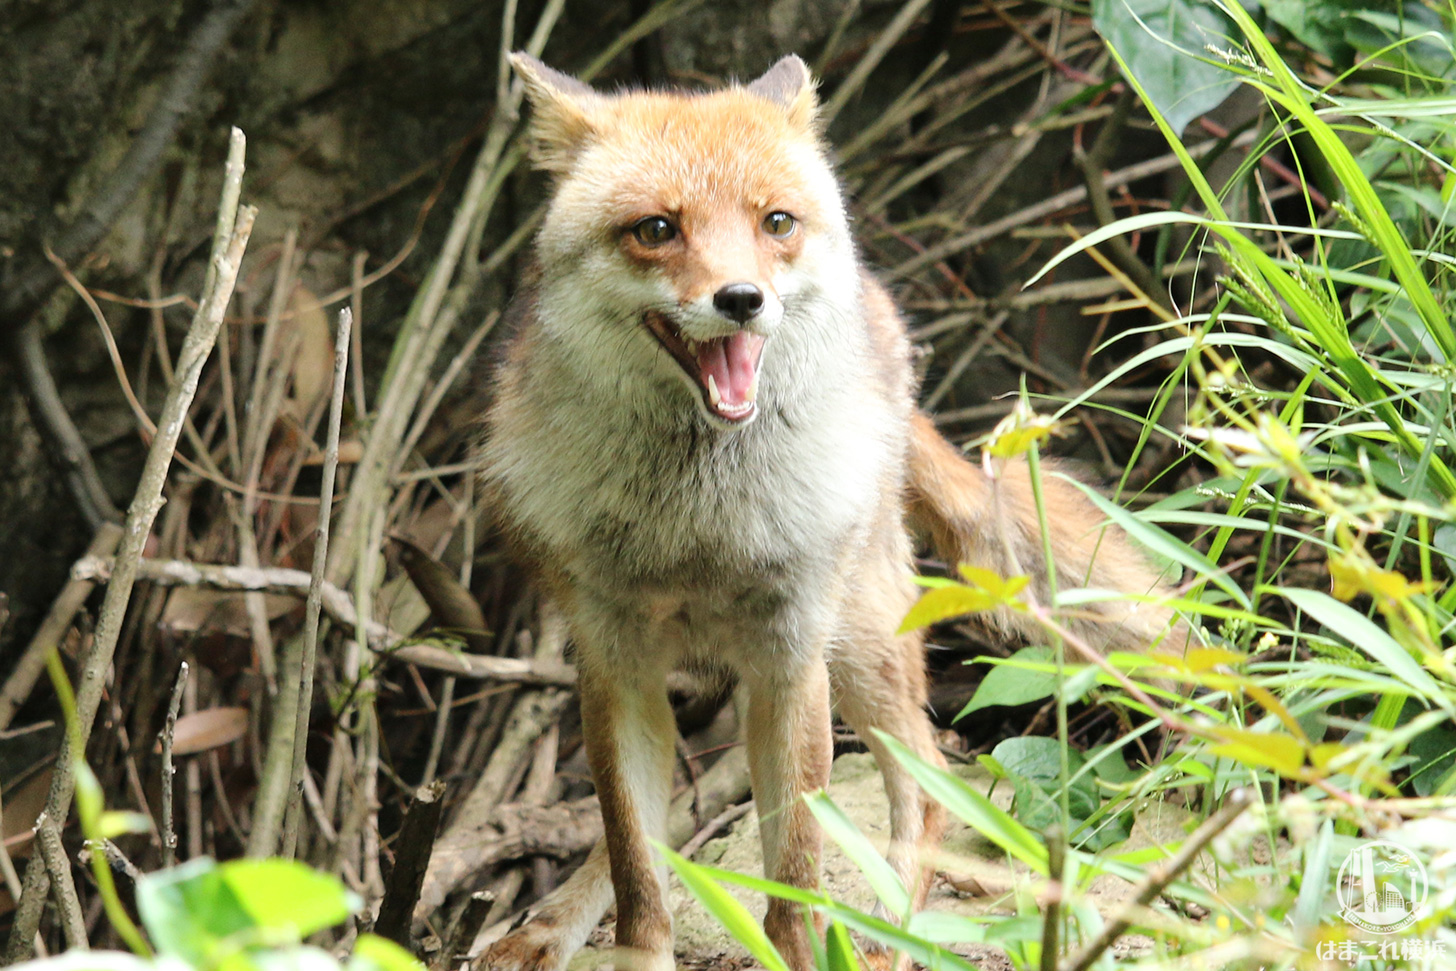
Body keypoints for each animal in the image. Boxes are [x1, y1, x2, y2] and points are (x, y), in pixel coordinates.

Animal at [483, 54, 1176, 971]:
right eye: (656, 229)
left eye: (775, 221)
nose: (742, 298)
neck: (696, 528)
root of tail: (877, 306)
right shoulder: (614, 663)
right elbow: (637, 870)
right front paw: (624, 937)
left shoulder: (790, 656)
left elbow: (795, 876)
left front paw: (805, 946)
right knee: (646, 829)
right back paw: (551, 923)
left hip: (862, 635)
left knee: (932, 781)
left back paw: (893, 929)